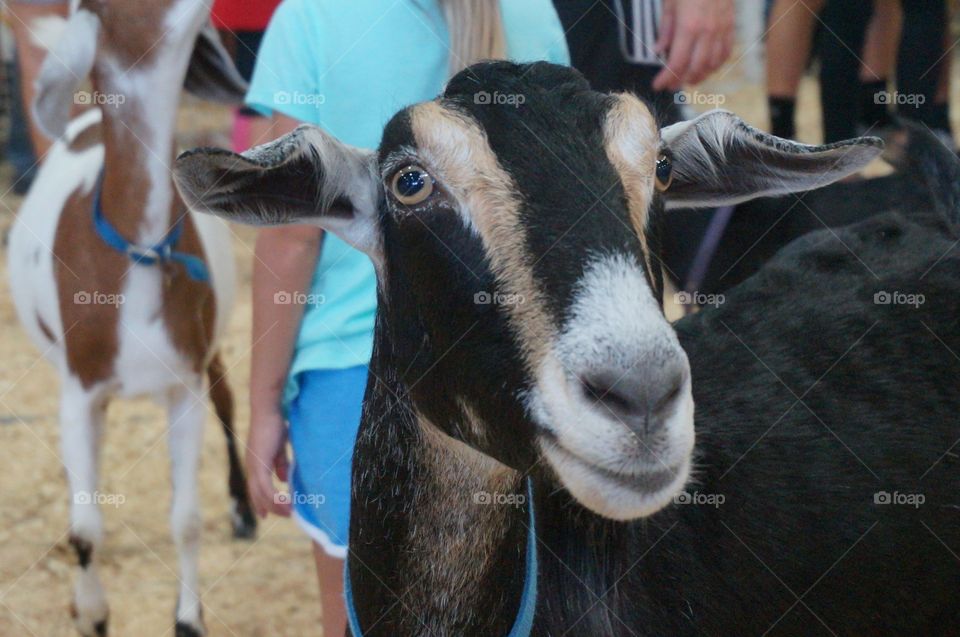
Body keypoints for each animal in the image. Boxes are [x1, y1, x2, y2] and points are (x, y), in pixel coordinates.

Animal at [8, 2, 255, 632]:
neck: (139, 246)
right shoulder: (79, 388)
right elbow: (85, 528)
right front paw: (91, 613)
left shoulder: (183, 378)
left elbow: (185, 519)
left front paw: (188, 618)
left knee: (226, 395)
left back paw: (243, 509)